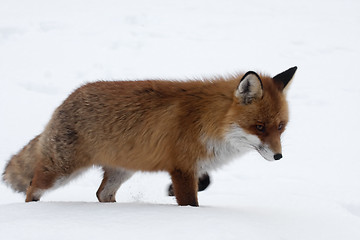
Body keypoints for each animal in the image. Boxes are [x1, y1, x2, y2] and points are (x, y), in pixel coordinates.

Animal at [2, 66, 296, 206]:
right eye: (260, 127)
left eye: (281, 126)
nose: (279, 156)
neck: (210, 121)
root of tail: (65, 100)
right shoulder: (181, 168)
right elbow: (191, 202)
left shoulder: (192, 166)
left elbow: (205, 182)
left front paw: (169, 192)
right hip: (60, 172)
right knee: (31, 188)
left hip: (123, 170)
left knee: (102, 194)